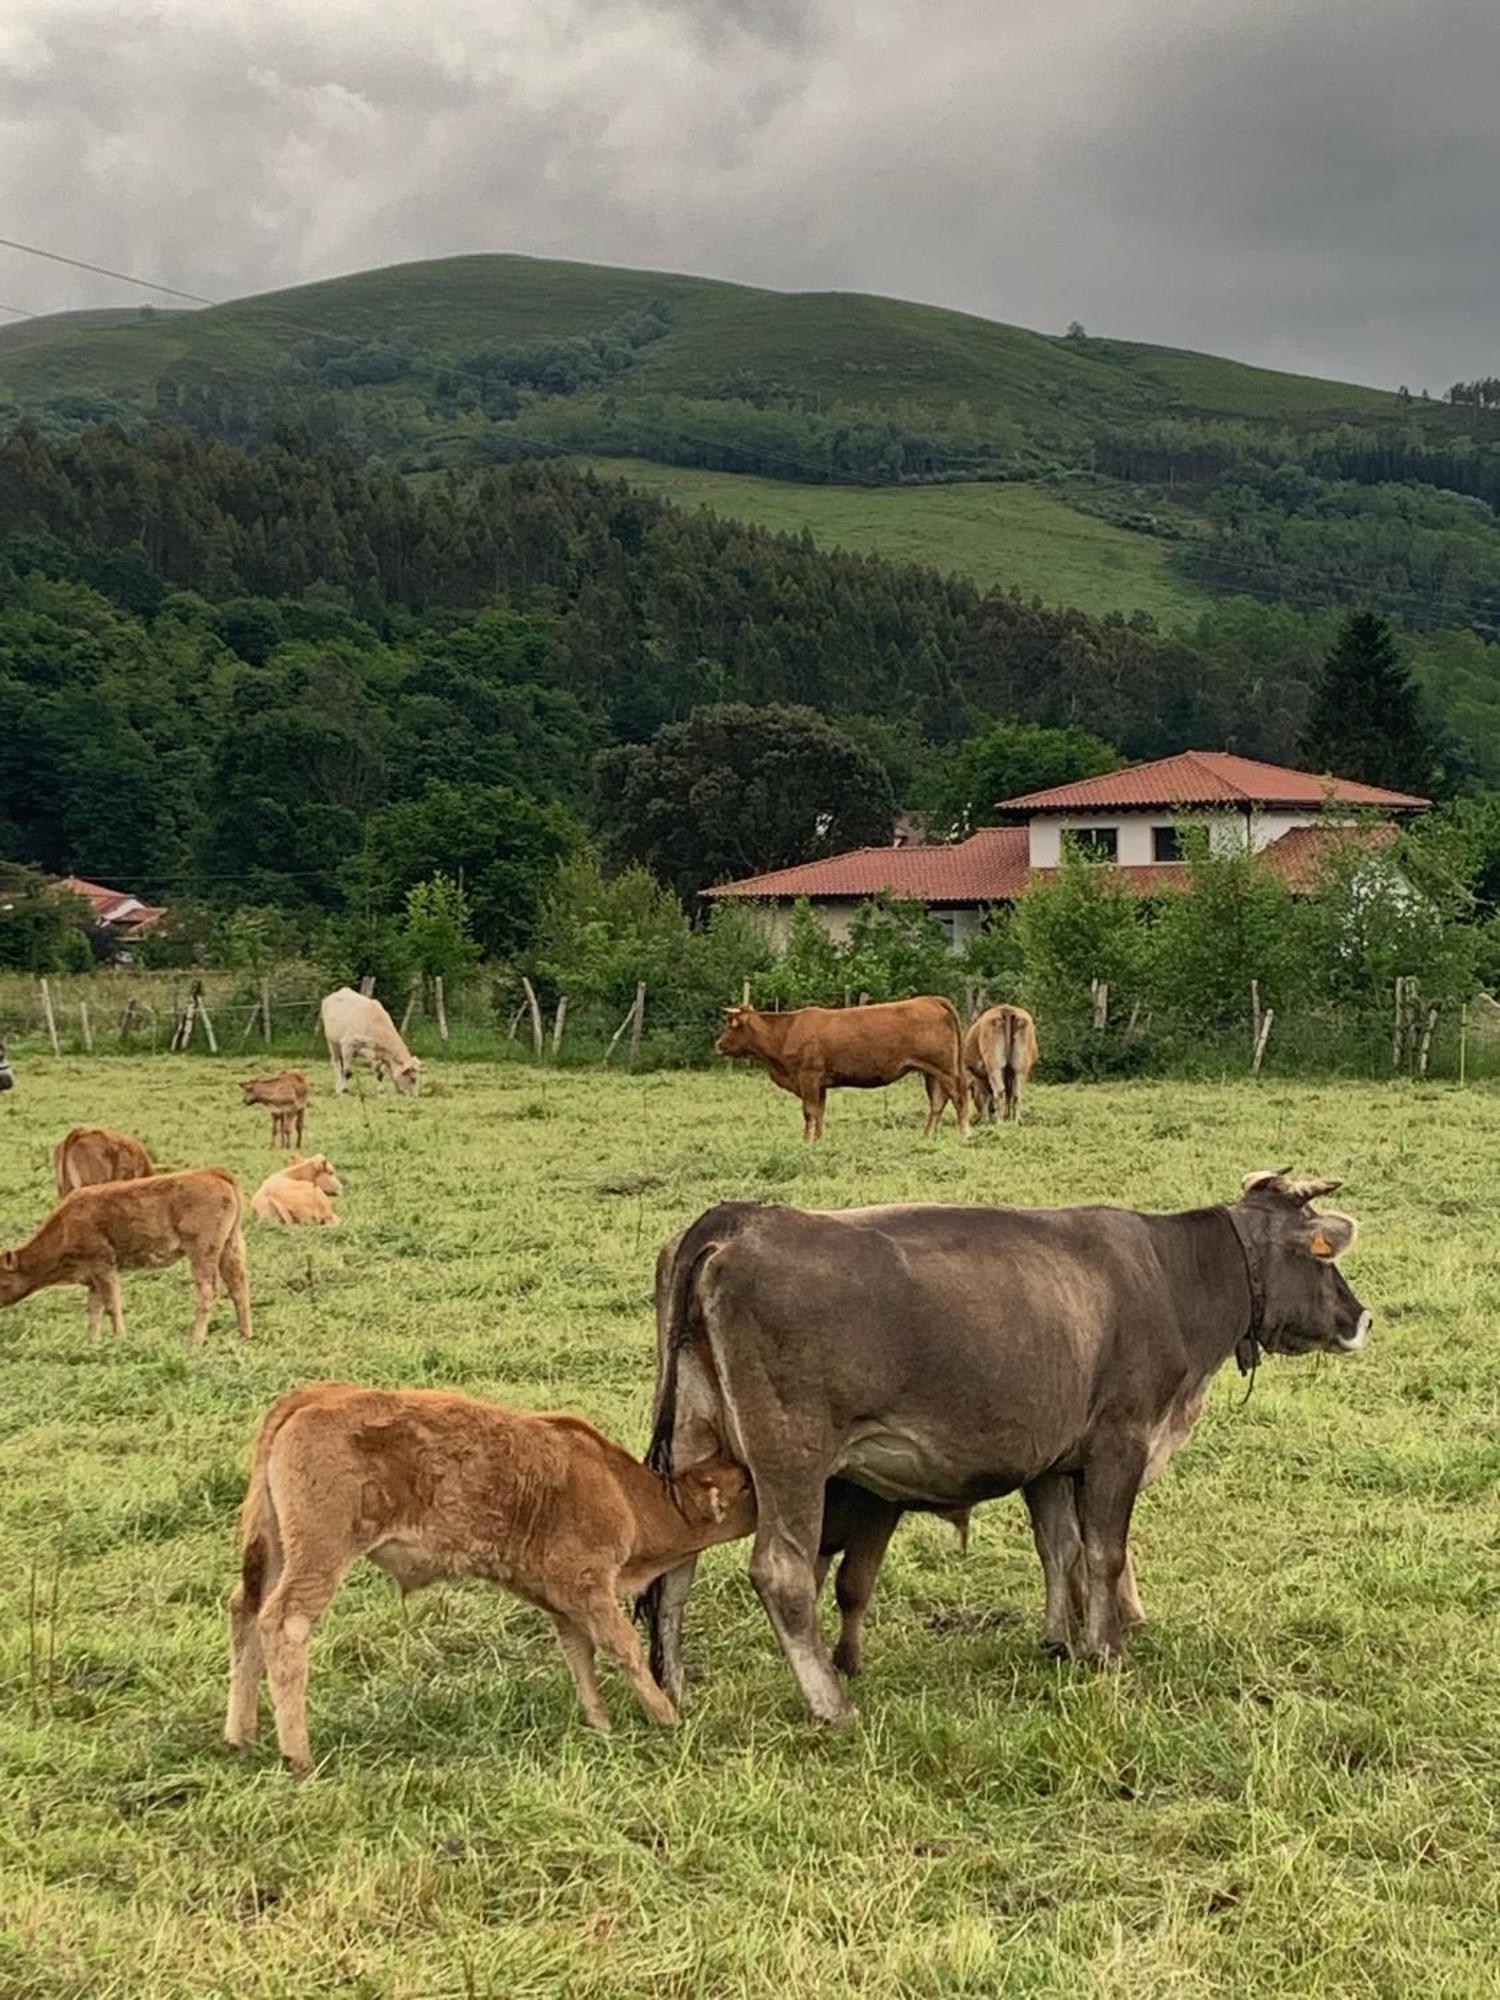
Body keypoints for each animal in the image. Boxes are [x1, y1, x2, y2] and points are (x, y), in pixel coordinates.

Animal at [0, 1168, 254, 1352]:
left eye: (2, 1281)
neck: (65, 1225)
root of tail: (213, 1173)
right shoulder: (93, 1277)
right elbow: (94, 1309)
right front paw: (92, 1342)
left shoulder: (103, 1265)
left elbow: (112, 1305)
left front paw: (119, 1339)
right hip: (230, 1246)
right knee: (238, 1287)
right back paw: (245, 1335)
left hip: (202, 1252)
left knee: (209, 1291)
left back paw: (195, 1341)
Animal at [225, 1384, 756, 1776]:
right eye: (746, 1484)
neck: (625, 1492)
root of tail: (311, 1396)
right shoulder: (588, 1584)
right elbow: (621, 1645)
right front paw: (666, 1716)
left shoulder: (562, 1598)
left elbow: (578, 1651)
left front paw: (599, 1721)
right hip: (319, 1553)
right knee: (284, 1622)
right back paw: (298, 1754)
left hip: (275, 1550)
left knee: (244, 1609)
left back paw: (240, 1735)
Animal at [648, 1168, 1376, 1720]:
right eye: (1325, 1256)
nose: (1361, 1317)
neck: (1172, 1278)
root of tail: (740, 1220)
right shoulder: (1119, 1444)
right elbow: (1104, 1553)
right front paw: (1107, 1651)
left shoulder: (1054, 1460)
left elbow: (1060, 1549)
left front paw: (1060, 1641)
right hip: (791, 1457)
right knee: (783, 1572)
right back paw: (831, 1703)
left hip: (693, 1438)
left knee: (679, 1560)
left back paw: (676, 1685)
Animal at [720, 996, 976, 1144]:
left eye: (730, 1026)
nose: (718, 1044)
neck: (786, 1032)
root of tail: (930, 999)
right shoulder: (820, 1083)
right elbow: (820, 1112)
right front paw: (819, 1141)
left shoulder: (808, 1077)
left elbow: (809, 1112)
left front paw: (806, 1142)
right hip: (931, 1072)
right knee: (937, 1102)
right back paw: (927, 1136)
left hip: (945, 1068)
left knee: (959, 1097)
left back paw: (964, 1134)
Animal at [968, 1000, 1040, 1128]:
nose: (992, 1110)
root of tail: (1007, 1009)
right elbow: (1008, 1095)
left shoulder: (980, 1078)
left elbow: (985, 1096)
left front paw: (985, 1120)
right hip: (1020, 1068)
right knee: (1016, 1094)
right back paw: (1015, 1122)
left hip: (995, 1067)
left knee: (999, 1092)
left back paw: (999, 1122)